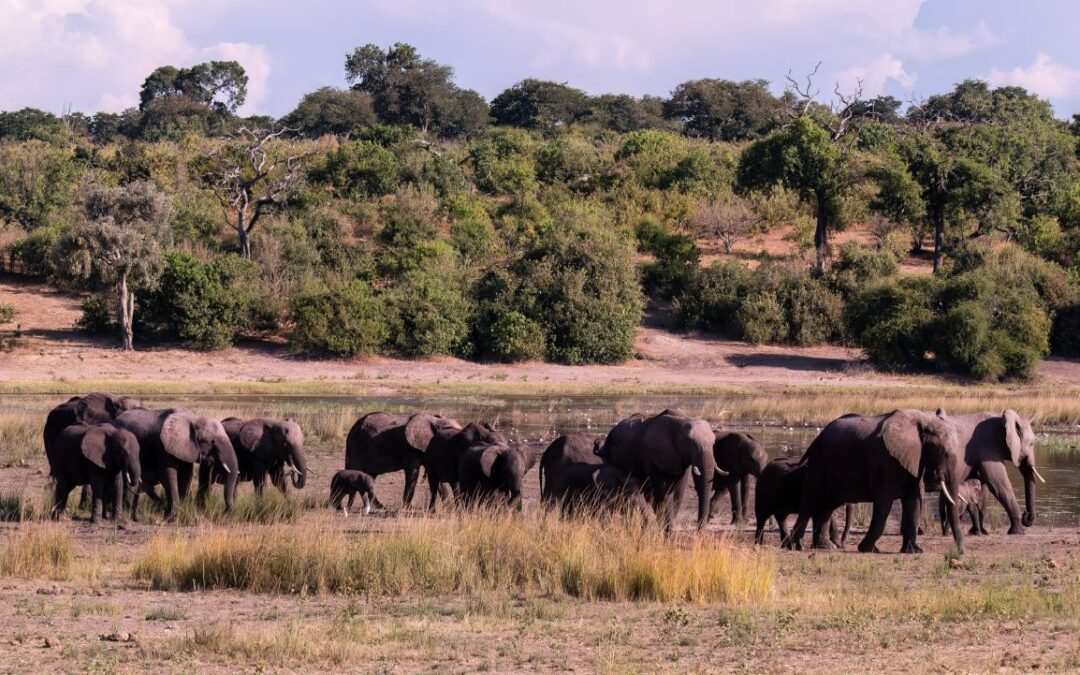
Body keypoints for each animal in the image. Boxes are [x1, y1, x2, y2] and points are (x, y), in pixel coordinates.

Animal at [781, 410, 967, 552]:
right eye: (943, 452)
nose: (959, 552)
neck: (922, 421)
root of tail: (817, 438)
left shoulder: (915, 460)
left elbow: (914, 503)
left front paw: (914, 551)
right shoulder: (884, 459)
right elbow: (884, 504)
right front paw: (868, 549)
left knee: (828, 506)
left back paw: (825, 547)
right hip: (819, 463)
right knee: (810, 502)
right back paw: (796, 547)